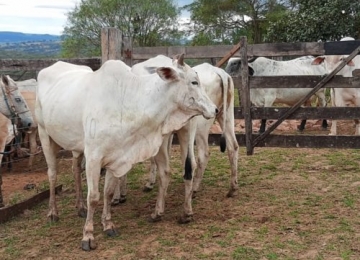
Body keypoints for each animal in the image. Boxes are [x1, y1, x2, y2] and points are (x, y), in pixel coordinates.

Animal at [35, 55, 217, 251]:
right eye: (194, 81)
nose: (215, 109)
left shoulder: (115, 157)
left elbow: (107, 192)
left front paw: (108, 224)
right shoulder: (94, 158)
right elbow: (94, 197)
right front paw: (88, 236)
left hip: (76, 147)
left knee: (75, 170)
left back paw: (80, 207)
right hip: (44, 134)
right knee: (52, 174)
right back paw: (53, 213)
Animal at [114, 57, 239, 223]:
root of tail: (218, 71)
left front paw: (119, 195)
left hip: (201, 128)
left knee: (202, 155)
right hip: (225, 115)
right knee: (232, 147)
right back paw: (231, 188)